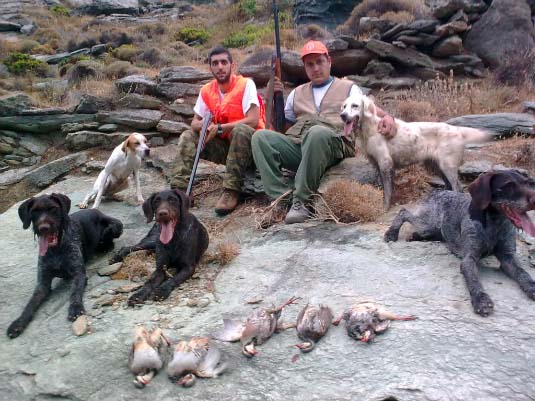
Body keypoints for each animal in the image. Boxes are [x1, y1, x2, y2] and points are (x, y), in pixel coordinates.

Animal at [7, 193, 123, 338]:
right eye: (34, 212)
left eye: (53, 209)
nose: (43, 228)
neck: (56, 250)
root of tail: (96, 211)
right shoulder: (42, 284)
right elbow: (31, 303)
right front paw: (19, 322)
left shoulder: (79, 275)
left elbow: (74, 293)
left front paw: (75, 308)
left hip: (117, 226)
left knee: (109, 236)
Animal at [340, 93, 491, 209]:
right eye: (344, 106)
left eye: (355, 105)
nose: (342, 115)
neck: (371, 129)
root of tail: (457, 129)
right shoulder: (378, 165)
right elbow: (386, 188)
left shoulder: (385, 163)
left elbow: (387, 192)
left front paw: (385, 207)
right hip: (435, 166)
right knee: (449, 186)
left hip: (447, 166)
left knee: (458, 188)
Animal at [384, 169, 535, 316]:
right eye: (508, 185)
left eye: (528, 183)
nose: (534, 200)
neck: (495, 224)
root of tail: (436, 191)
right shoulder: (469, 258)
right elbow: (473, 279)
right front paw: (481, 300)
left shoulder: (508, 257)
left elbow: (523, 272)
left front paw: (532, 287)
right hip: (427, 223)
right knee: (403, 212)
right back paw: (391, 233)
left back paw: (415, 236)